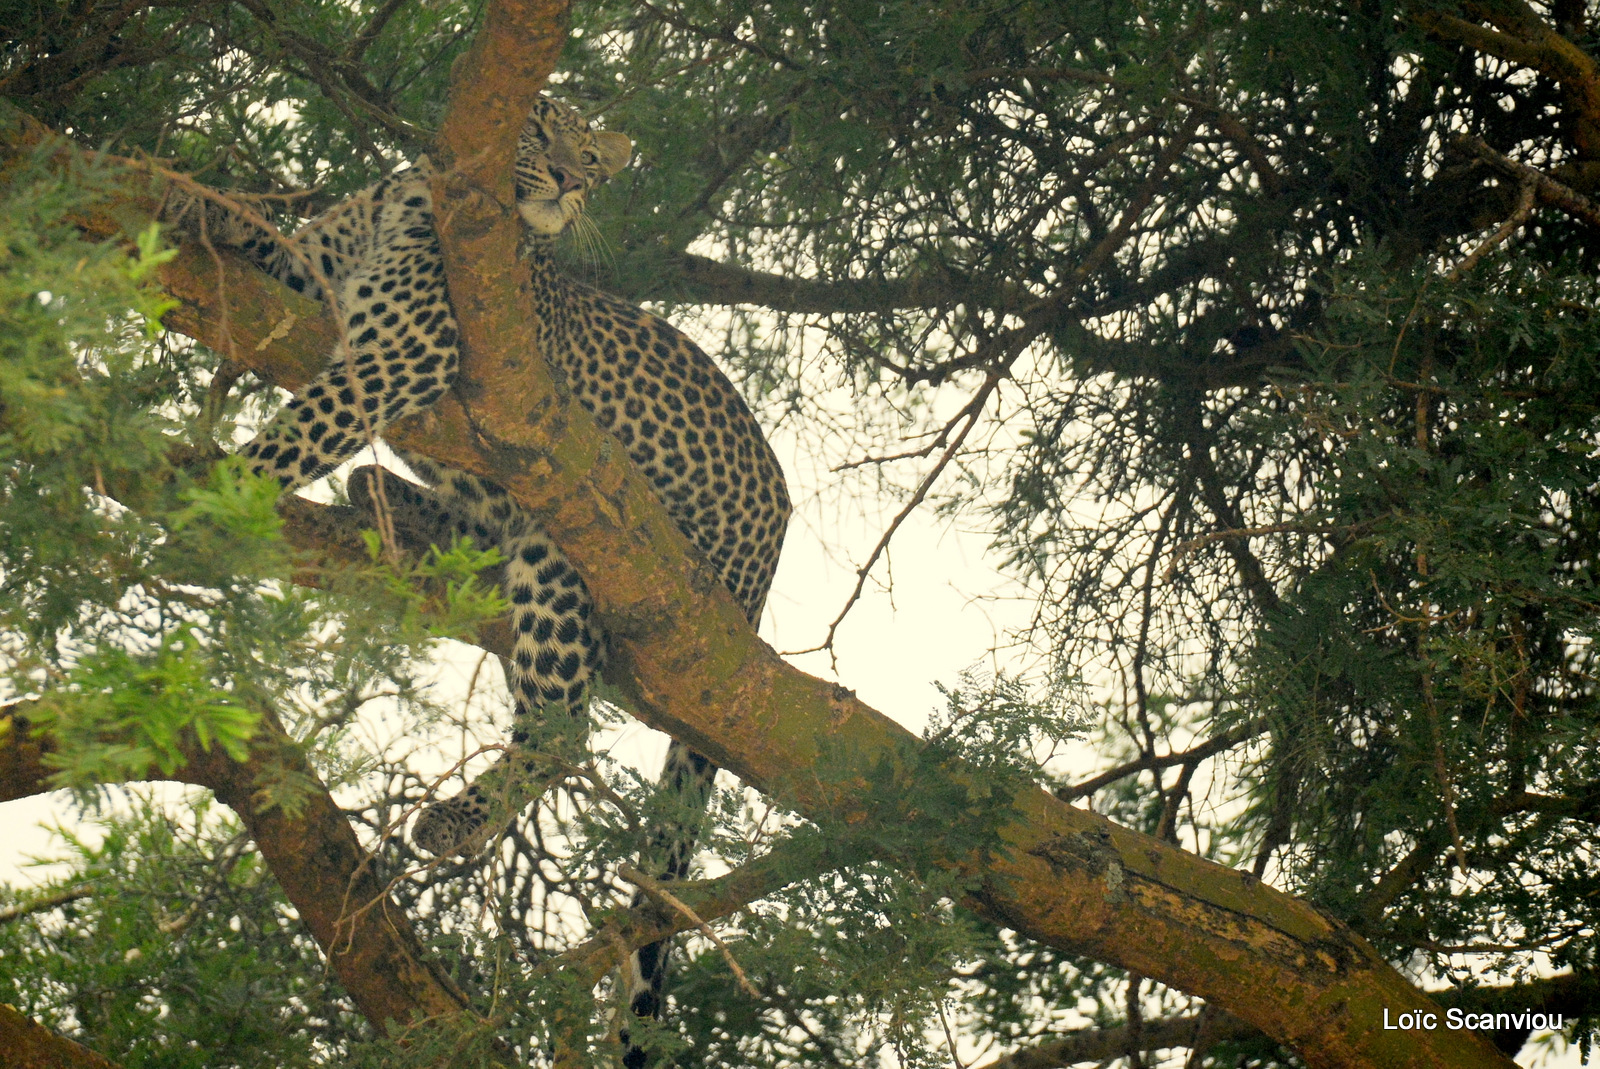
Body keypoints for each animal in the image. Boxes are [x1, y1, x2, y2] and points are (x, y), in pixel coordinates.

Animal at [162, 94, 787, 1049]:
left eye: (593, 162)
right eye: (542, 131)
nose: (569, 180)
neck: (414, 199)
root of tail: (763, 566)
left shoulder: (403, 355)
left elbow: (302, 427)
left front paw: (220, 494)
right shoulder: (320, 279)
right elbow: (279, 250)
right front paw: (197, 202)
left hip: (577, 542)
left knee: (561, 723)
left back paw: (454, 818)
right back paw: (394, 503)